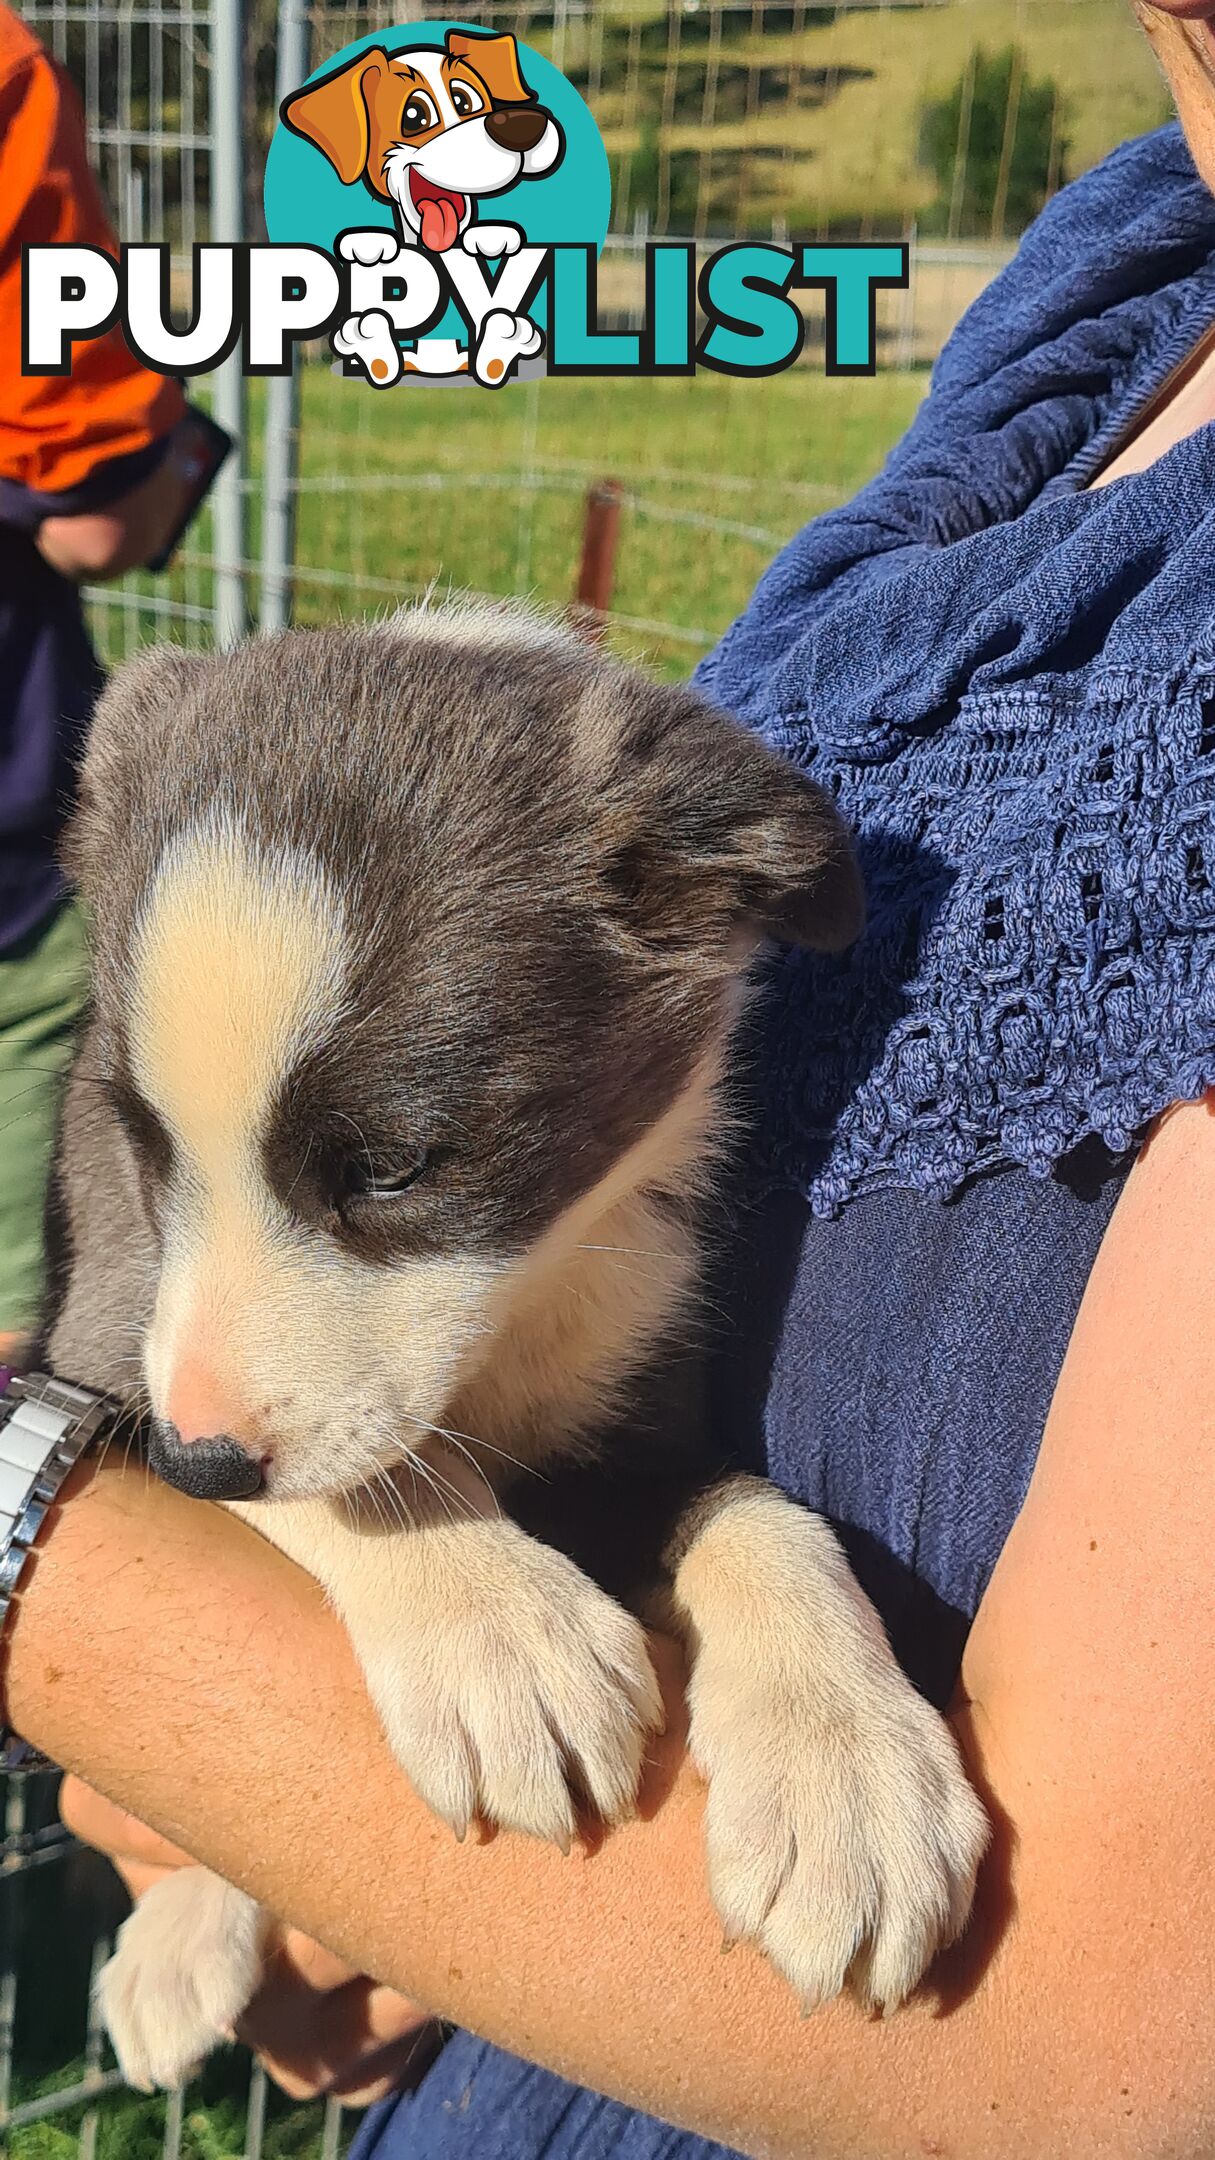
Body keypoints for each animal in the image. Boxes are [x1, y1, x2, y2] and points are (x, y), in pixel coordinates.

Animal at [44, 596, 985, 2090]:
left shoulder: (639, 1411)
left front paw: (845, 1771)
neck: (520, 1307)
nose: (199, 1466)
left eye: (391, 1169)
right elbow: (370, 1473)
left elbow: (759, 1514)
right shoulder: (107, 1349)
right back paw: (179, 1943)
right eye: (142, 1140)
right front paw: (499, 1632)